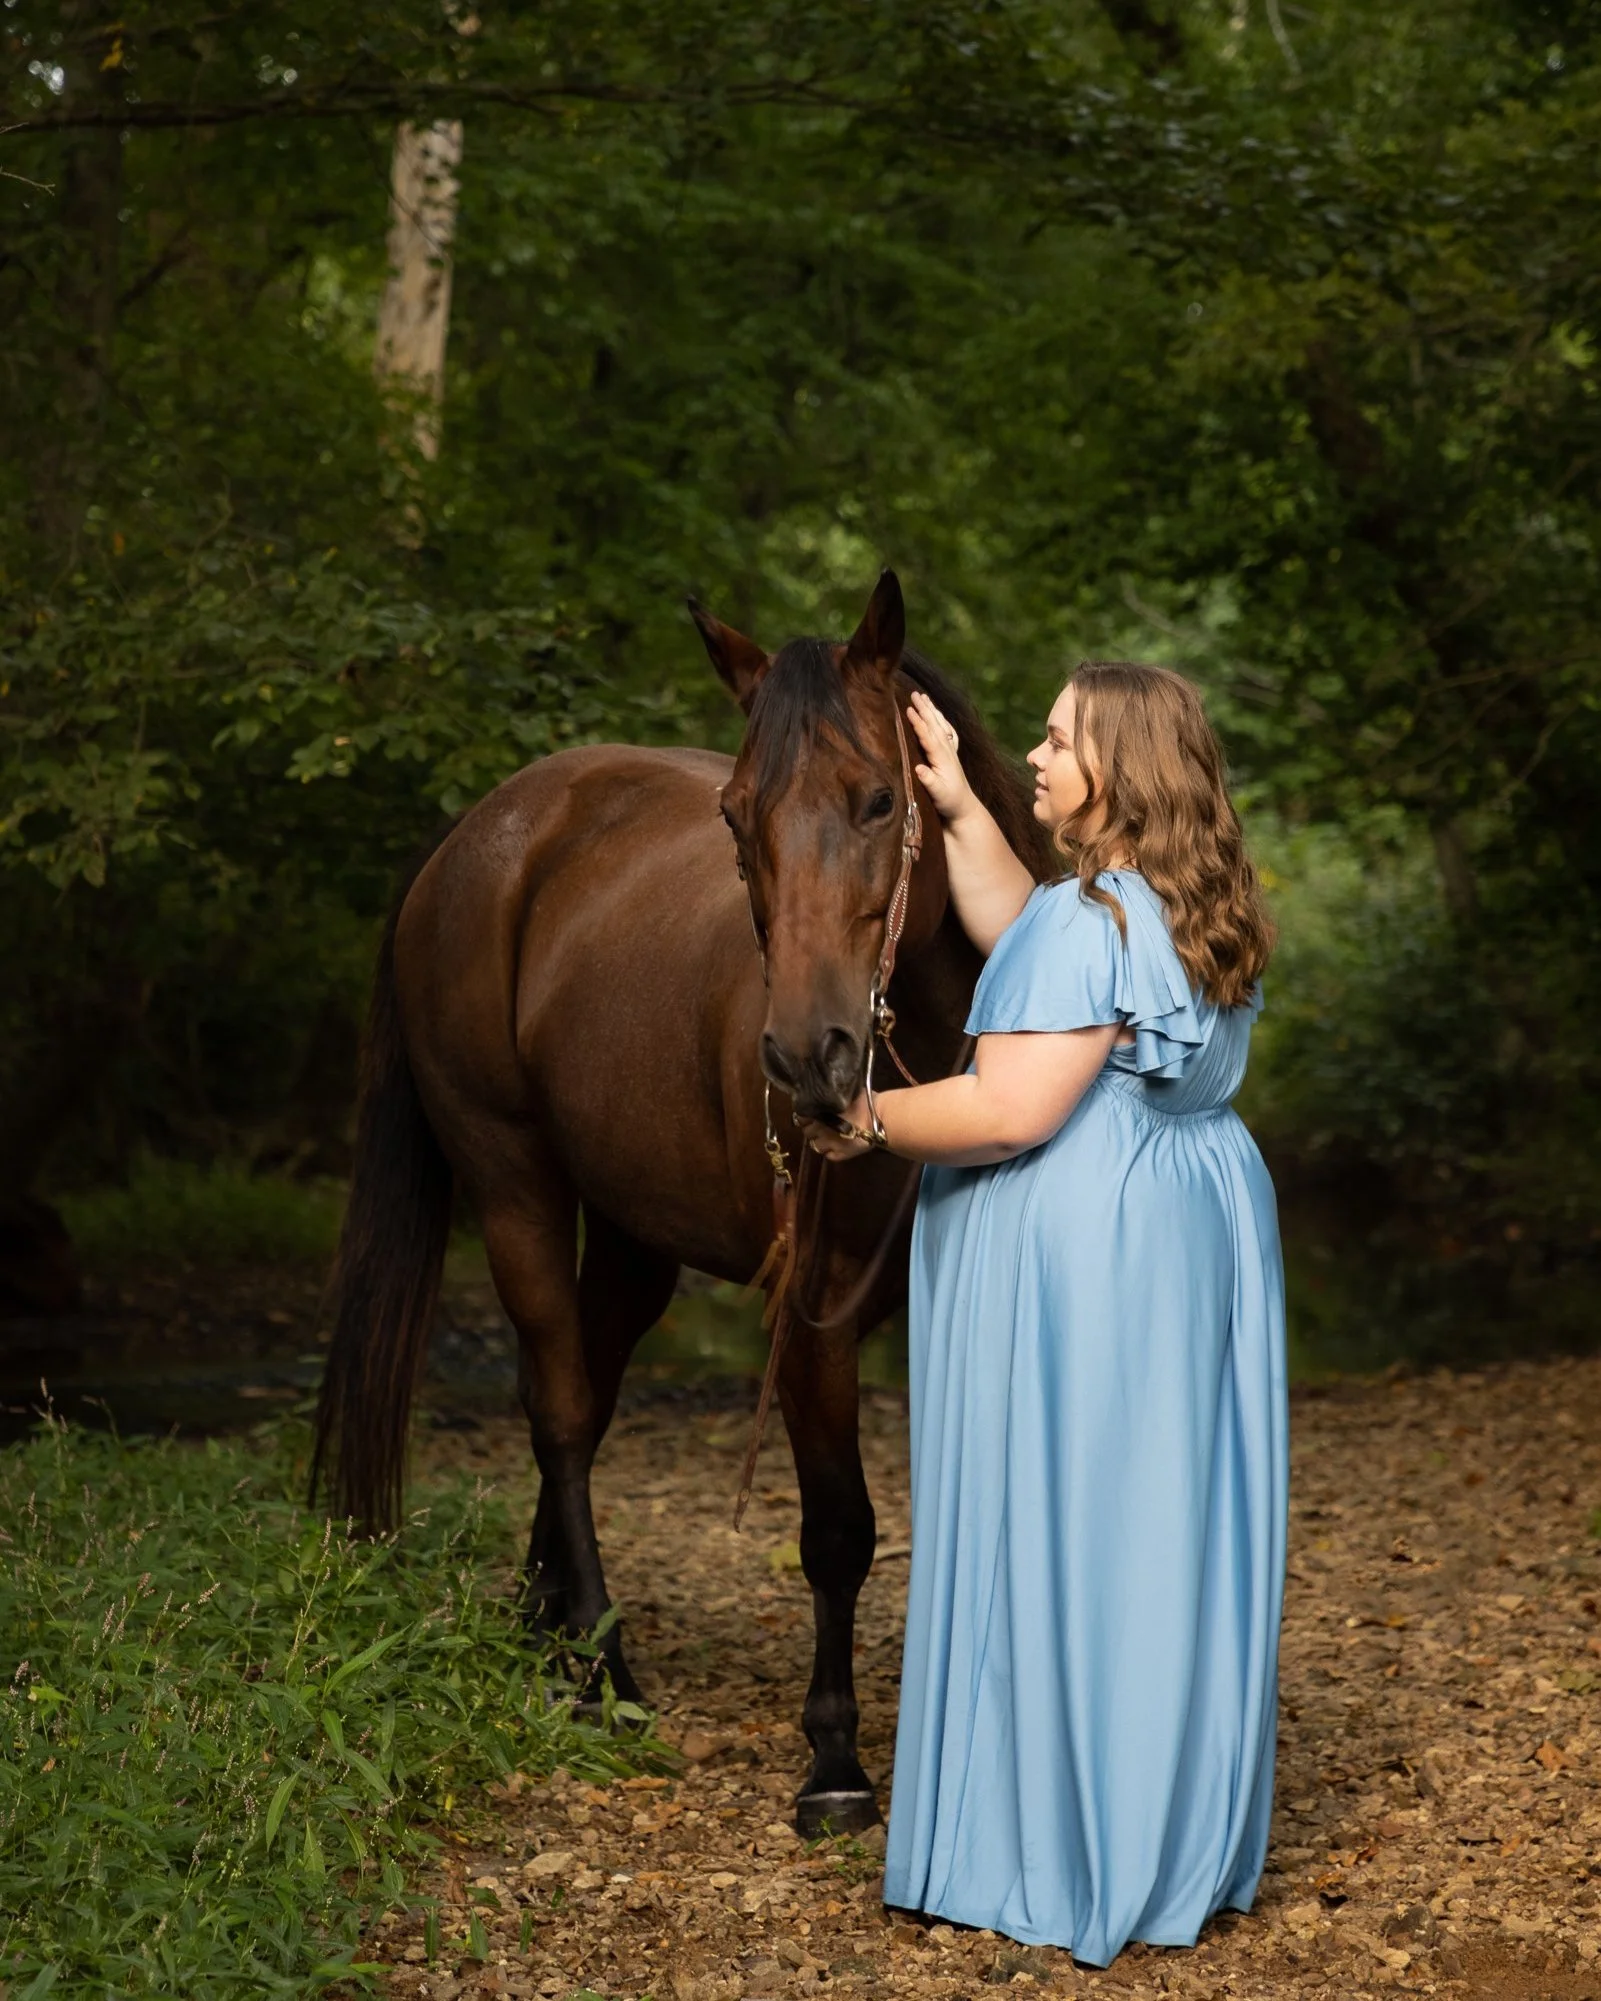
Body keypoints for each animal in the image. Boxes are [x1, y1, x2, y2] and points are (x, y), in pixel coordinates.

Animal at [311, 569, 1053, 1833]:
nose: (808, 1058)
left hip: (628, 1235)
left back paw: (547, 1627)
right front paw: (834, 1757)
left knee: (584, 1393)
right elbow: (837, 1531)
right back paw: (600, 1672)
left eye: (875, 801)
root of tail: (478, 836)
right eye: (734, 818)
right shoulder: (809, 1319)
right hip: (514, 1187)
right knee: (561, 1409)